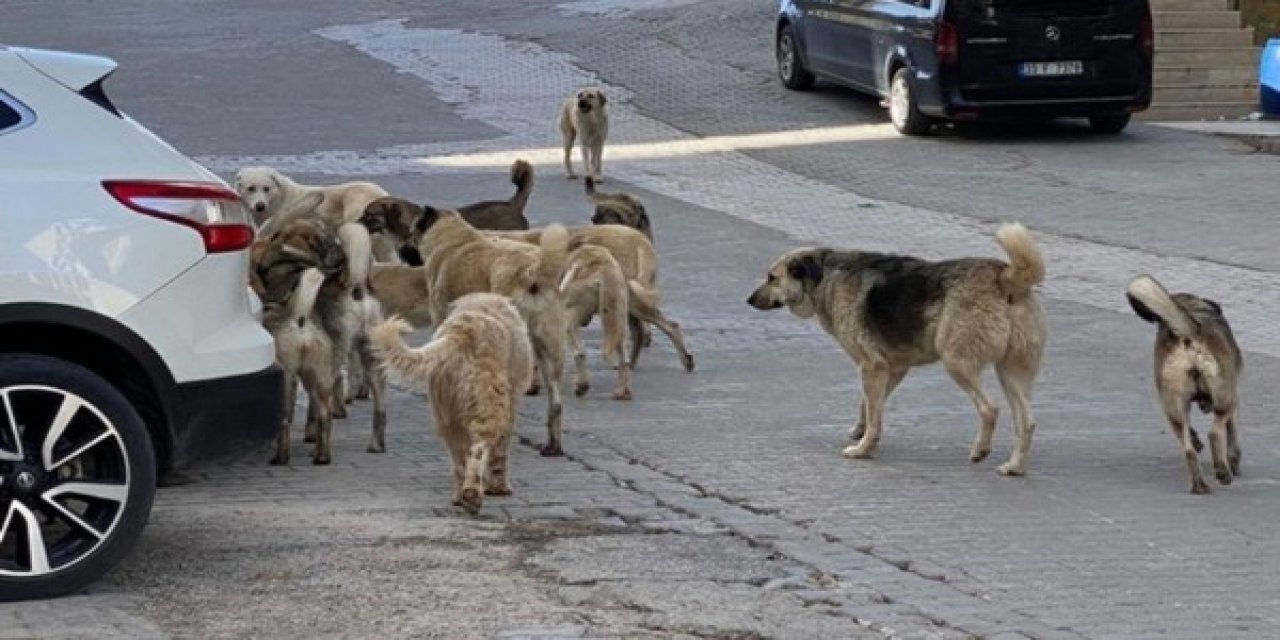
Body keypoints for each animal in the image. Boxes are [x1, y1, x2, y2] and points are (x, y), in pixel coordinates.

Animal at [373, 294, 532, 514]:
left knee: (459, 461)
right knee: (477, 450)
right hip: (488, 406)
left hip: (446, 417)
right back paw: (472, 495)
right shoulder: (511, 405)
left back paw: (460, 497)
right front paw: (499, 488)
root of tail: (460, 334)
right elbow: (500, 453)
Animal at [747, 222, 1044, 478]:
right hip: (1010, 373)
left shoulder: (871, 366)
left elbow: (873, 414)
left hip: (956, 362)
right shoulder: (892, 368)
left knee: (990, 409)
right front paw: (861, 433)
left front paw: (862, 449)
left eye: (772, 278)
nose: (748, 300)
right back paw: (1014, 466)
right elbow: (869, 407)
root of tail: (1004, 276)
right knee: (1027, 421)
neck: (826, 276)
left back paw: (981, 450)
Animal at [1126, 275, 1244, 494]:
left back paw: (1200, 484)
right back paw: (1222, 472)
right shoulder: (1234, 399)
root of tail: (1188, 333)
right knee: (1215, 433)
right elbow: (1232, 434)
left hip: (1174, 408)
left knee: (1188, 449)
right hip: (1225, 397)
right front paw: (1234, 461)